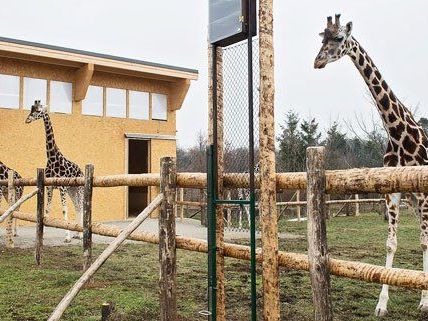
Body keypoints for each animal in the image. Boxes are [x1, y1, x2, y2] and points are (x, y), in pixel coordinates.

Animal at [25, 99, 84, 241]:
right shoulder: (50, 186)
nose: (27, 120)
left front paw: (67, 237)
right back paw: (77, 233)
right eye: (31, 109)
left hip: (79, 189)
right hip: (72, 190)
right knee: (77, 207)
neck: (52, 159)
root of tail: (82, 171)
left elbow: (64, 209)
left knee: (80, 206)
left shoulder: (62, 187)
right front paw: (42, 231)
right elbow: (47, 209)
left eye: (38, 110)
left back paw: (79, 234)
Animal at [312, 14, 428, 316]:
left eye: (339, 38)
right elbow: (390, 244)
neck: (398, 135)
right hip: (412, 199)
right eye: (322, 38)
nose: (317, 61)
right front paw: (381, 304)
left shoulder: (423, 193)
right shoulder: (393, 191)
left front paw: (425, 302)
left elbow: (424, 241)